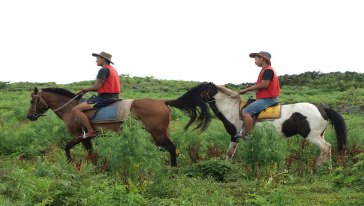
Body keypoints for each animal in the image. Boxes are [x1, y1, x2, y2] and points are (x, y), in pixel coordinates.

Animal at [27, 86, 210, 166]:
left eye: (32, 100)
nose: (29, 116)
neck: (70, 108)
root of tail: (163, 102)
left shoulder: (81, 135)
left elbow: (68, 147)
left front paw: (71, 163)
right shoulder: (85, 138)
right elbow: (91, 153)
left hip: (158, 133)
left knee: (171, 148)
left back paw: (172, 169)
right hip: (156, 134)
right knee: (164, 148)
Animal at [169, 82, 348, 167]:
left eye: (198, 90)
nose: (181, 100)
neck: (233, 109)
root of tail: (322, 108)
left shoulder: (240, 135)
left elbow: (237, 153)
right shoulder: (238, 137)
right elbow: (232, 153)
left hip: (312, 136)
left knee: (326, 148)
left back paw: (317, 167)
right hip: (319, 135)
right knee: (327, 149)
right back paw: (327, 168)